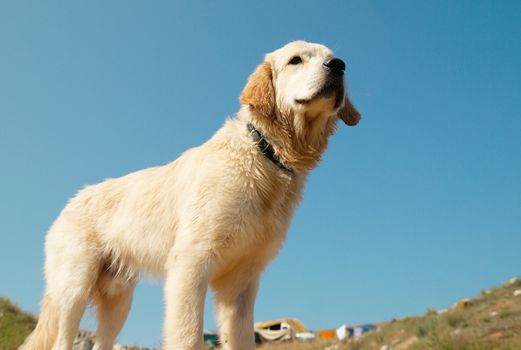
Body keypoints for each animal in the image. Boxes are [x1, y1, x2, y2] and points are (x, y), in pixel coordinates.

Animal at [23, 41, 358, 350]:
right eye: (295, 60)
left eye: (332, 57)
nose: (339, 65)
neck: (266, 154)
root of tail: (68, 203)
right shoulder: (191, 262)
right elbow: (187, 335)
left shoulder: (241, 283)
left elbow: (241, 339)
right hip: (74, 289)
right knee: (61, 341)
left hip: (118, 301)